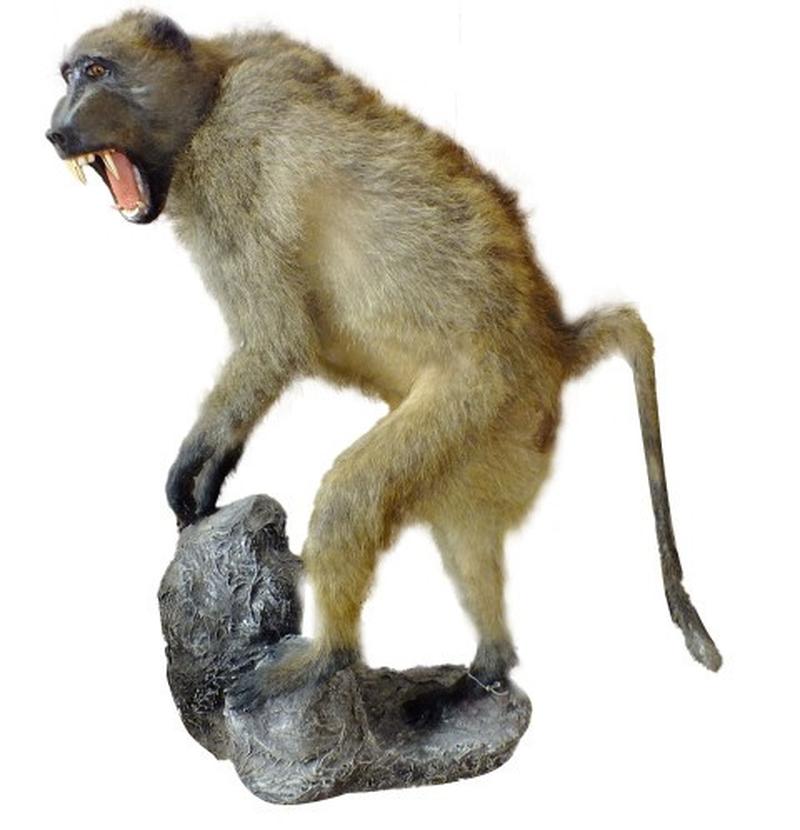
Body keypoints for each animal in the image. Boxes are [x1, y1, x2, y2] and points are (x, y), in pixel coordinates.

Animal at [46, 11, 721, 714]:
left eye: (97, 70)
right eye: (67, 75)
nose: (56, 132)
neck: (211, 90)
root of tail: (554, 342)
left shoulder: (235, 162)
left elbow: (277, 337)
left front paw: (193, 465)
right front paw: (216, 476)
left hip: (483, 395)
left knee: (351, 496)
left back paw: (325, 658)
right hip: (498, 432)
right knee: (463, 528)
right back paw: (484, 669)